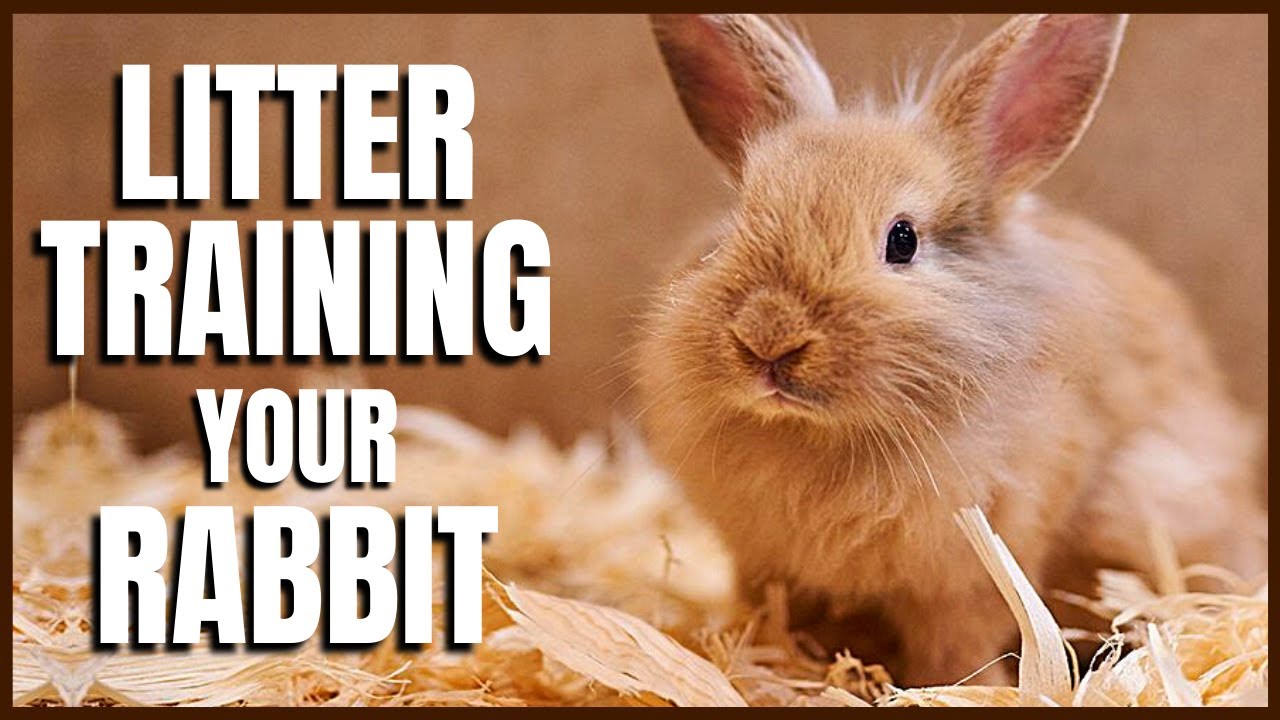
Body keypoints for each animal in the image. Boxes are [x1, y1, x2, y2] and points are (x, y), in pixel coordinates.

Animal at [635, 13, 1266, 687]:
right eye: (739, 221)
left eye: (902, 240)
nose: (767, 338)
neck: (822, 437)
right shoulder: (765, 567)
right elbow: (774, 620)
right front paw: (769, 665)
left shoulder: (966, 577)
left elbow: (958, 651)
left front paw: (973, 690)